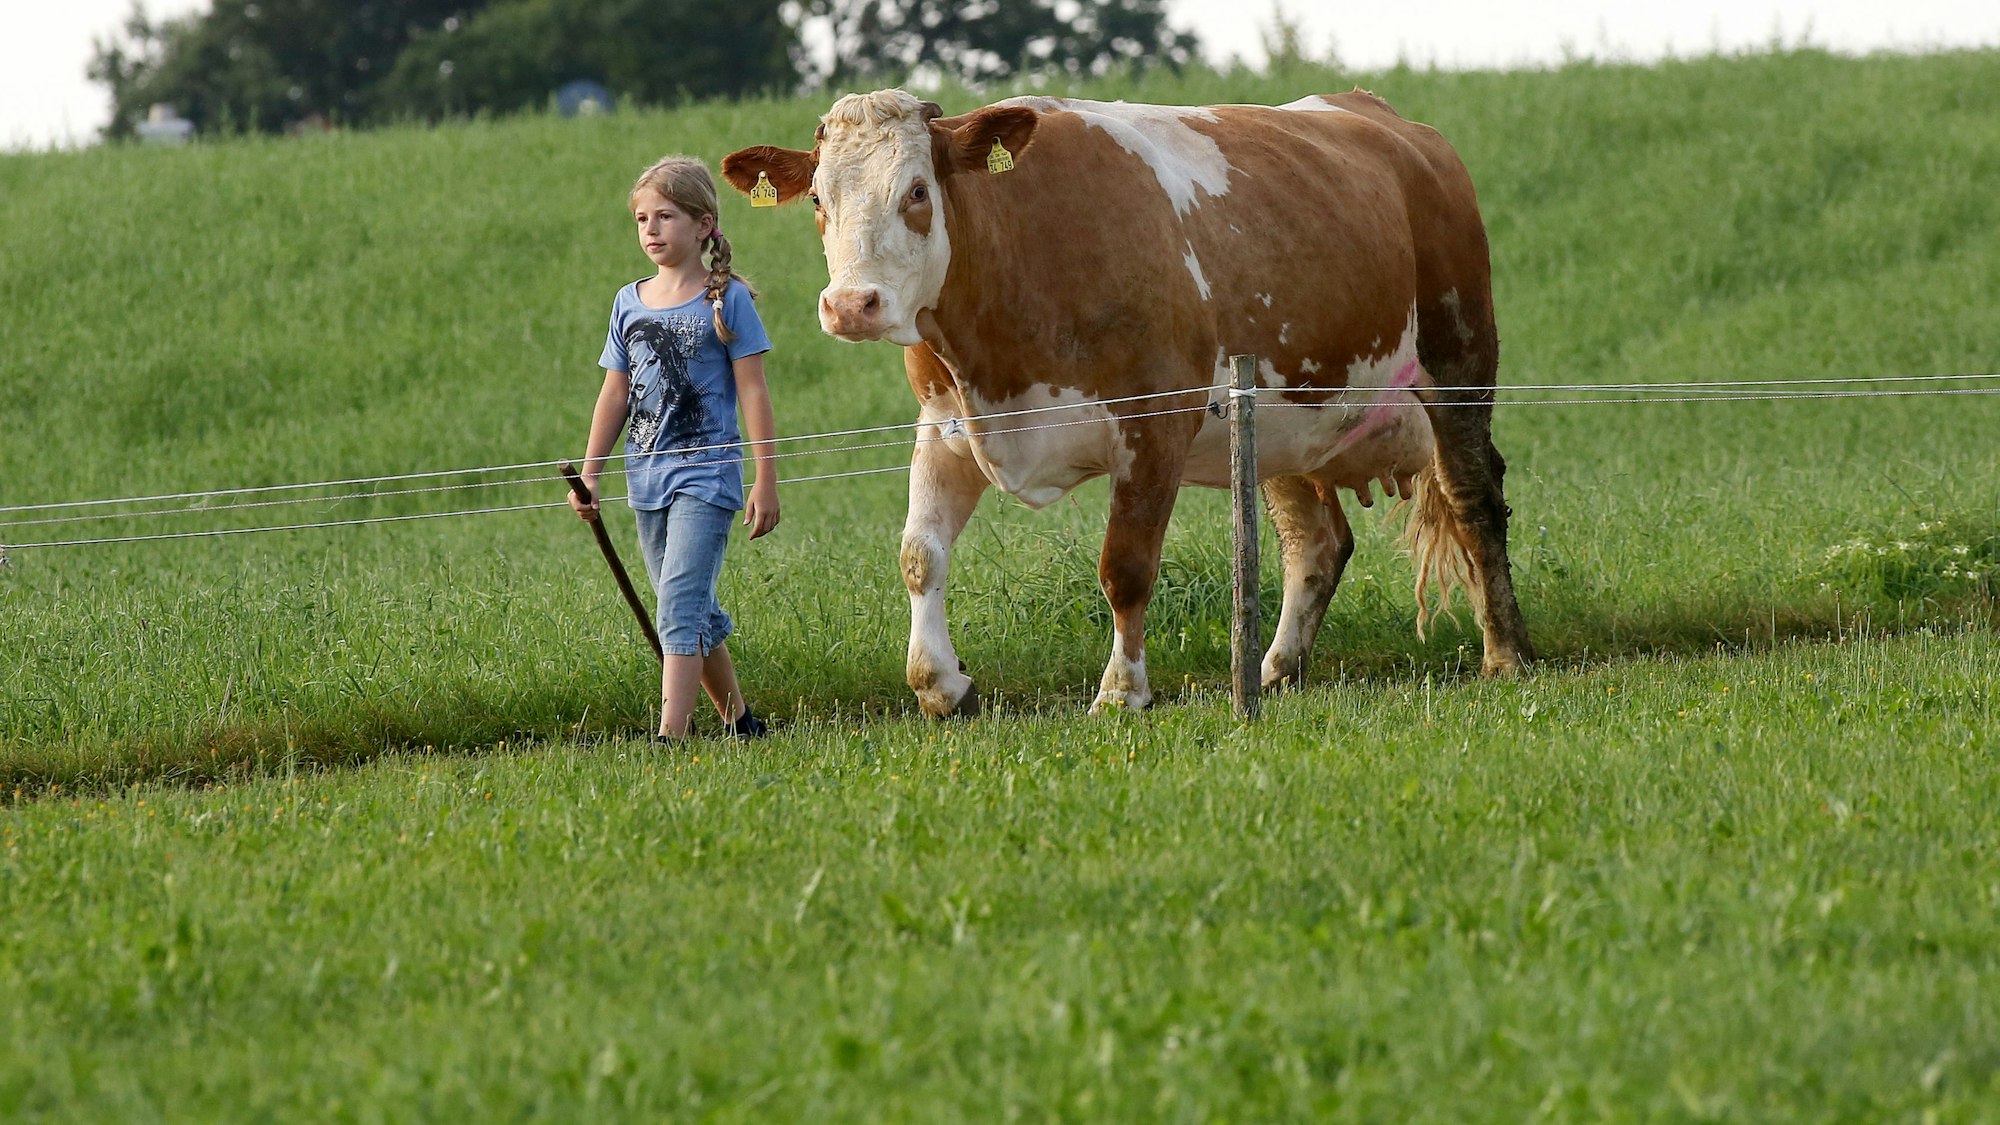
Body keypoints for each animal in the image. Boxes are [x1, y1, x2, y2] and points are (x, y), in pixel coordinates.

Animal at [722, 88, 1535, 716]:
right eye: (819, 198)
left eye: (917, 192)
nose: (850, 304)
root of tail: (1388, 120)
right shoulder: (945, 424)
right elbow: (919, 555)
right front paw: (941, 684)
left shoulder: (1155, 422)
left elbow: (1127, 565)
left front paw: (1122, 691)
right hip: (1279, 414)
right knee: (1316, 541)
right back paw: (1273, 671)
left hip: (1458, 355)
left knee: (1474, 497)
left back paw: (1507, 654)